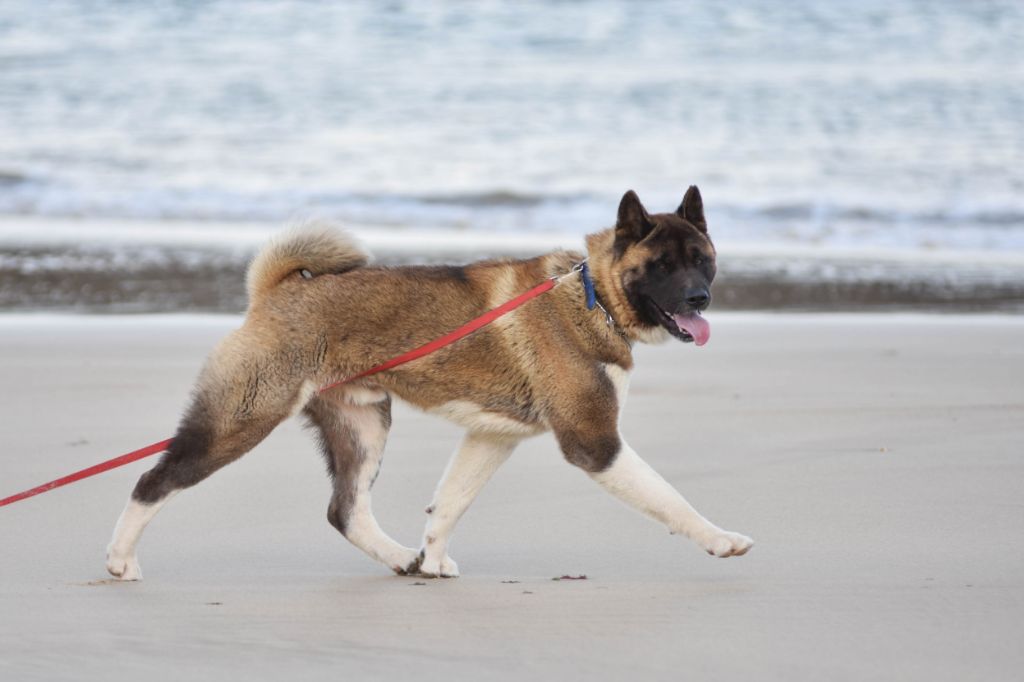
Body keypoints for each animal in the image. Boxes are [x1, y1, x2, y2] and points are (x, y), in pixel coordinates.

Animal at [105, 187, 753, 577]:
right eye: (661, 266)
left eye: (702, 259)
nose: (700, 298)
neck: (591, 295)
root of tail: (276, 291)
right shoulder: (595, 444)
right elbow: (670, 499)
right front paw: (719, 539)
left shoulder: (493, 436)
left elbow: (449, 504)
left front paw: (434, 558)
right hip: (243, 418)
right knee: (153, 480)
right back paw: (119, 558)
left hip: (363, 424)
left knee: (346, 511)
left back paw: (400, 558)